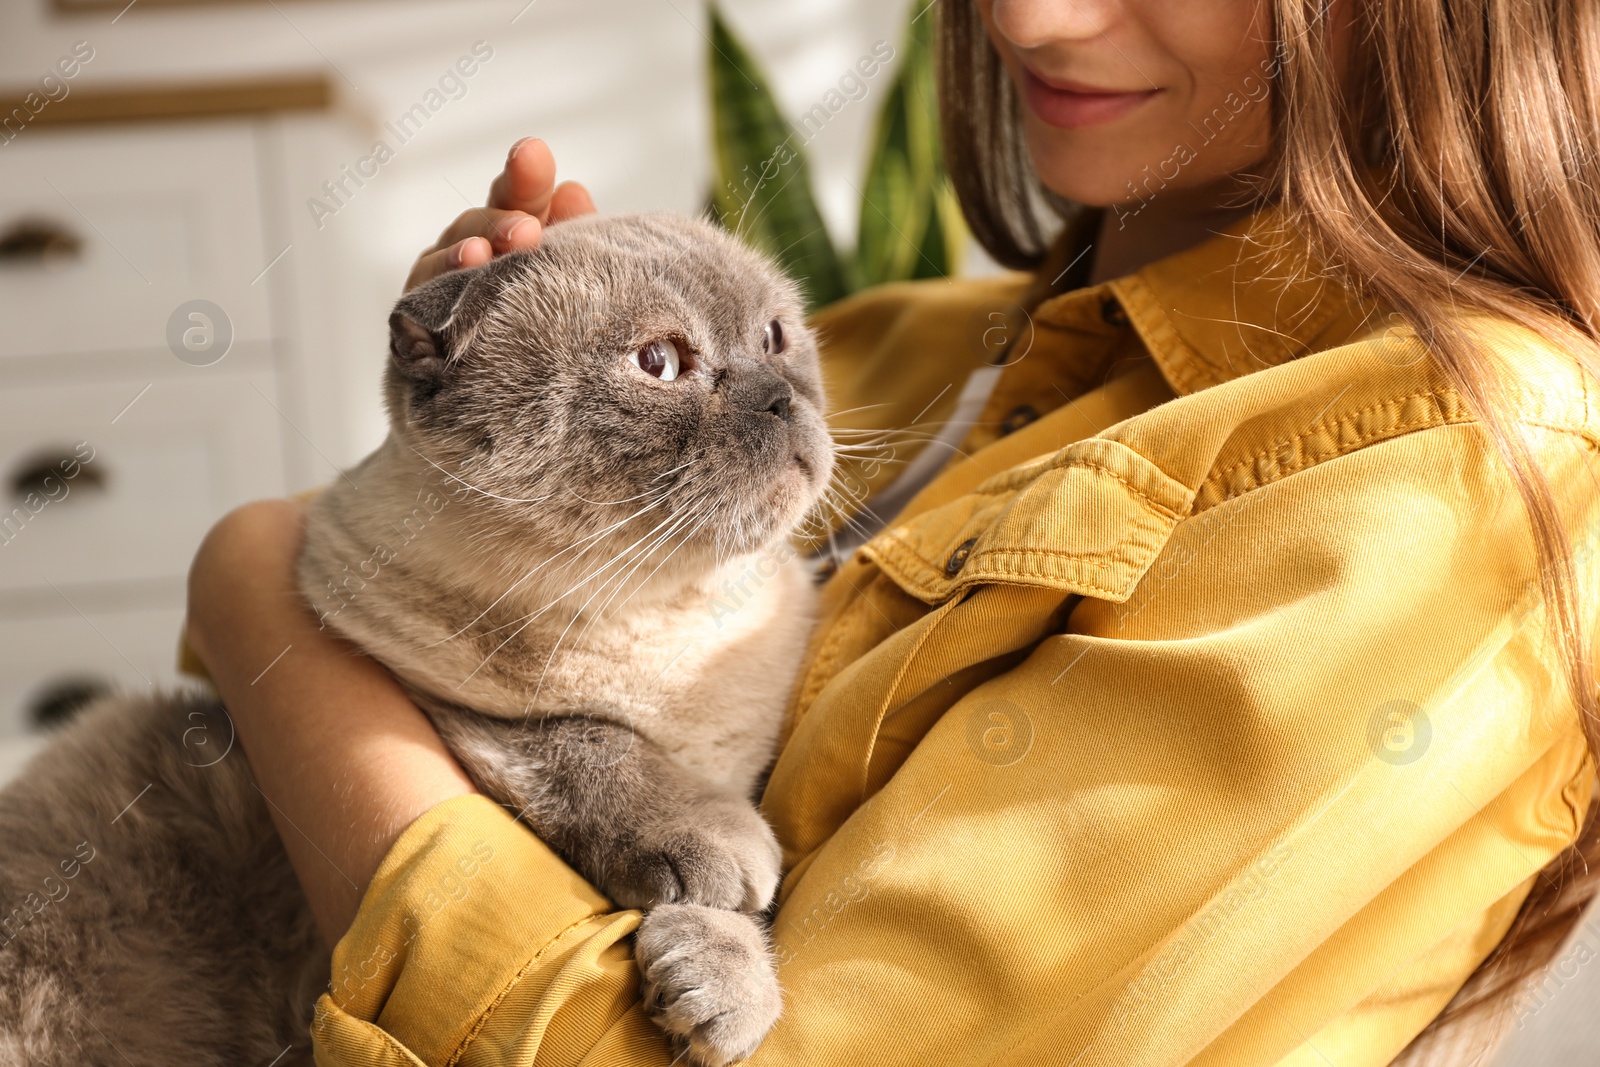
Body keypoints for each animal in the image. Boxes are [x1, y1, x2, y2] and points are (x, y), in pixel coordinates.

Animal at [0, 214, 844, 1067]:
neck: (673, 627)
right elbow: (587, 743)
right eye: (660, 362)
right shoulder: (435, 697)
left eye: (775, 337)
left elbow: (739, 912)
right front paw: (722, 882)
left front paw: (722, 994)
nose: (782, 397)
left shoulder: (744, 768)